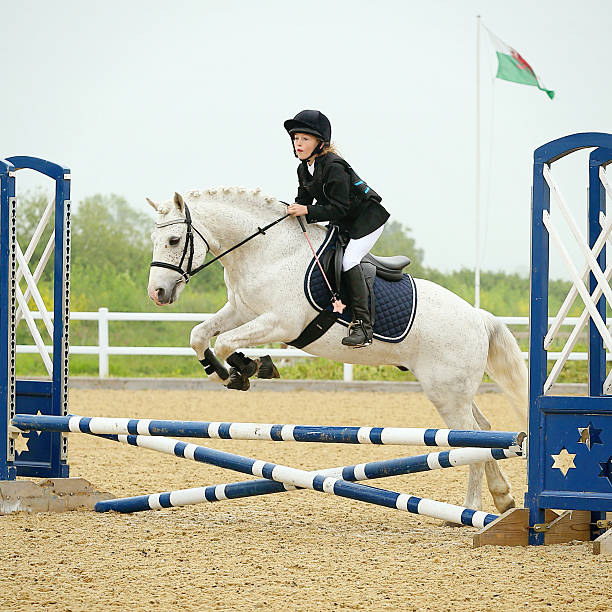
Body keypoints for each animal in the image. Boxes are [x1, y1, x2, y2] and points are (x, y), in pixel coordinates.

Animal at [147, 188, 524, 516]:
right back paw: (502, 498)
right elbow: (199, 335)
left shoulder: (280, 322)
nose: (158, 293)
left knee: (469, 441)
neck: (268, 252)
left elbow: (226, 342)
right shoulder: (241, 310)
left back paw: (470, 509)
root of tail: (478, 318)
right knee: (482, 429)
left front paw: (250, 368)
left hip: (445, 392)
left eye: (174, 241)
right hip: (452, 390)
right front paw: (226, 372)